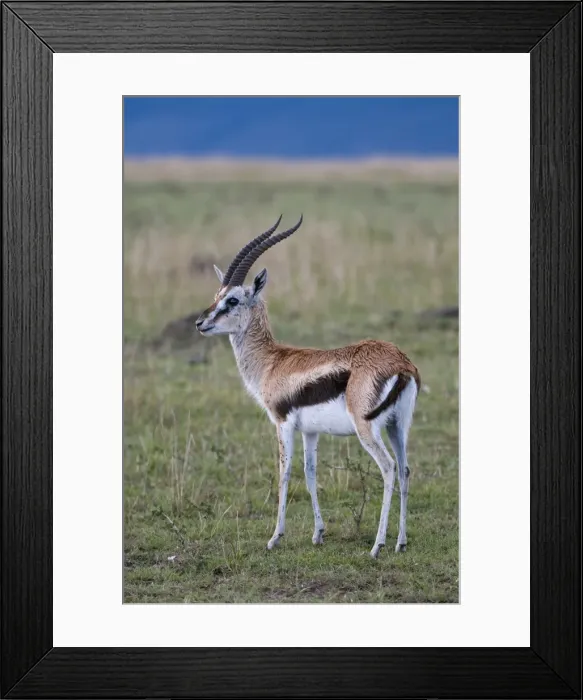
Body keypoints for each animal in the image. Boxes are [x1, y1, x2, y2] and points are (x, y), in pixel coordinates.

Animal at [195, 216, 420, 558]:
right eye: (216, 295)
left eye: (232, 299)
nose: (200, 323)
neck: (272, 362)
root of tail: (401, 364)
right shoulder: (310, 431)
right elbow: (310, 473)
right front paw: (318, 533)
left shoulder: (283, 423)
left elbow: (285, 473)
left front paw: (275, 537)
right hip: (398, 426)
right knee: (406, 469)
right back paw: (401, 542)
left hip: (367, 428)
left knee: (389, 468)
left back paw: (377, 545)